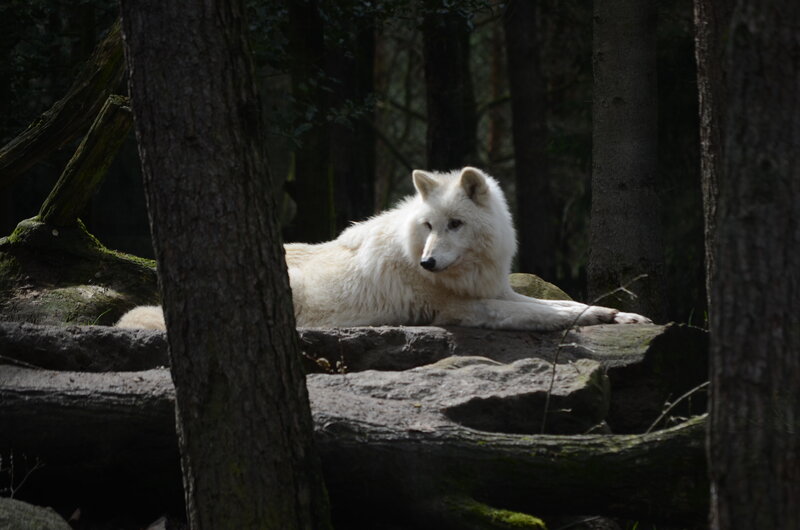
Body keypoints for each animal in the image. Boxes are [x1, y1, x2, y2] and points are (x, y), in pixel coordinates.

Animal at [117, 167, 649, 331]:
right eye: (429, 225)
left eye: (455, 224)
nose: (428, 262)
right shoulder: (464, 310)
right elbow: (544, 314)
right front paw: (595, 318)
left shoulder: (497, 291)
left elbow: (563, 303)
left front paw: (623, 315)